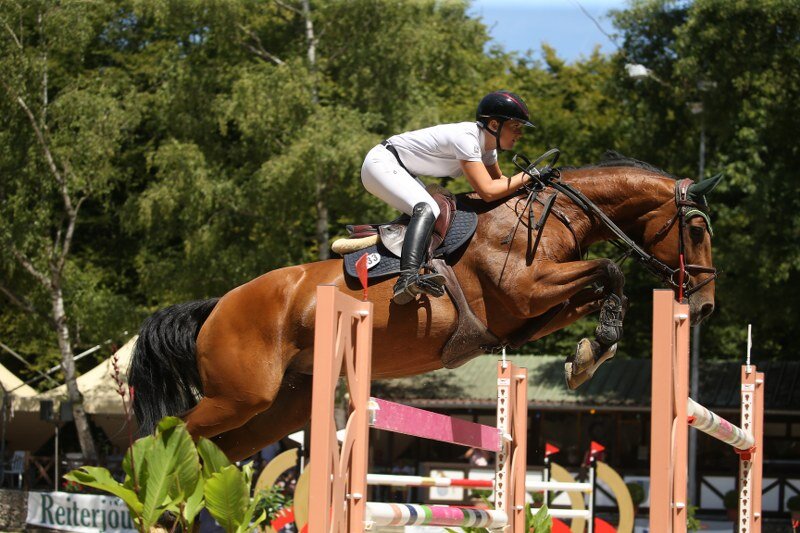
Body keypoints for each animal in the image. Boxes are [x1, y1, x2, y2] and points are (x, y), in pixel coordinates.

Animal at [129, 154, 721, 461]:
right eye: (696, 230)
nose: (707, 307)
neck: (550, 217)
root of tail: (216, 307)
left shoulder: (529, 315)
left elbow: (600, 286)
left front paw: (587, 355)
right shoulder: (527, 291)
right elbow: (610, 271)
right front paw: (593, 351)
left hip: (281, 406)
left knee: (219, 451)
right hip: (239, 396)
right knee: (162, 435)